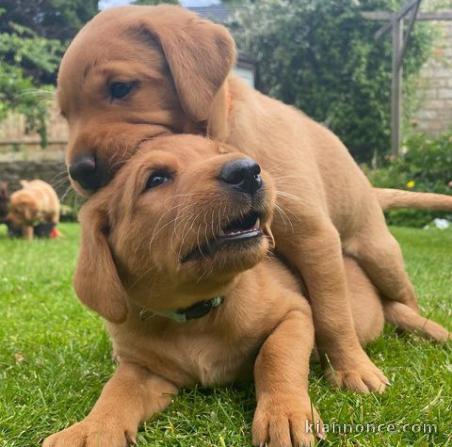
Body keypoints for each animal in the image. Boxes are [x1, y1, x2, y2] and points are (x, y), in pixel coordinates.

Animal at [44, 136, 450, 447]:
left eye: (221, 152)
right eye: (156, 178)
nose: (247, 171)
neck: (197, 311)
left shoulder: (296, 313)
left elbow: (273, 357)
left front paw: (286, 415)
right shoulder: (143, 369)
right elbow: (116, 391)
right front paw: (91, 430)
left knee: (404, 311)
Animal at [57, 5, 452, 394]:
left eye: (120, 88)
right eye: (64, 114)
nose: (80, 172)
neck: (224, 131)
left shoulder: (315, 238)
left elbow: (332, 312)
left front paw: (351, 367)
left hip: (381, 256)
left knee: (402, 299)